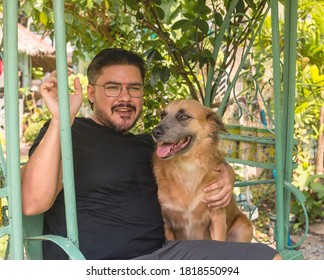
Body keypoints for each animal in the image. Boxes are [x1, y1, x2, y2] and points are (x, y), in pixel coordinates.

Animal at [152, 99, 253, 242]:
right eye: (162, 115)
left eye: (183, 116)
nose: (155, 132)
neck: (187, 167)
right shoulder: (167, 224)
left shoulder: (217, 218)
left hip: (244, 226)